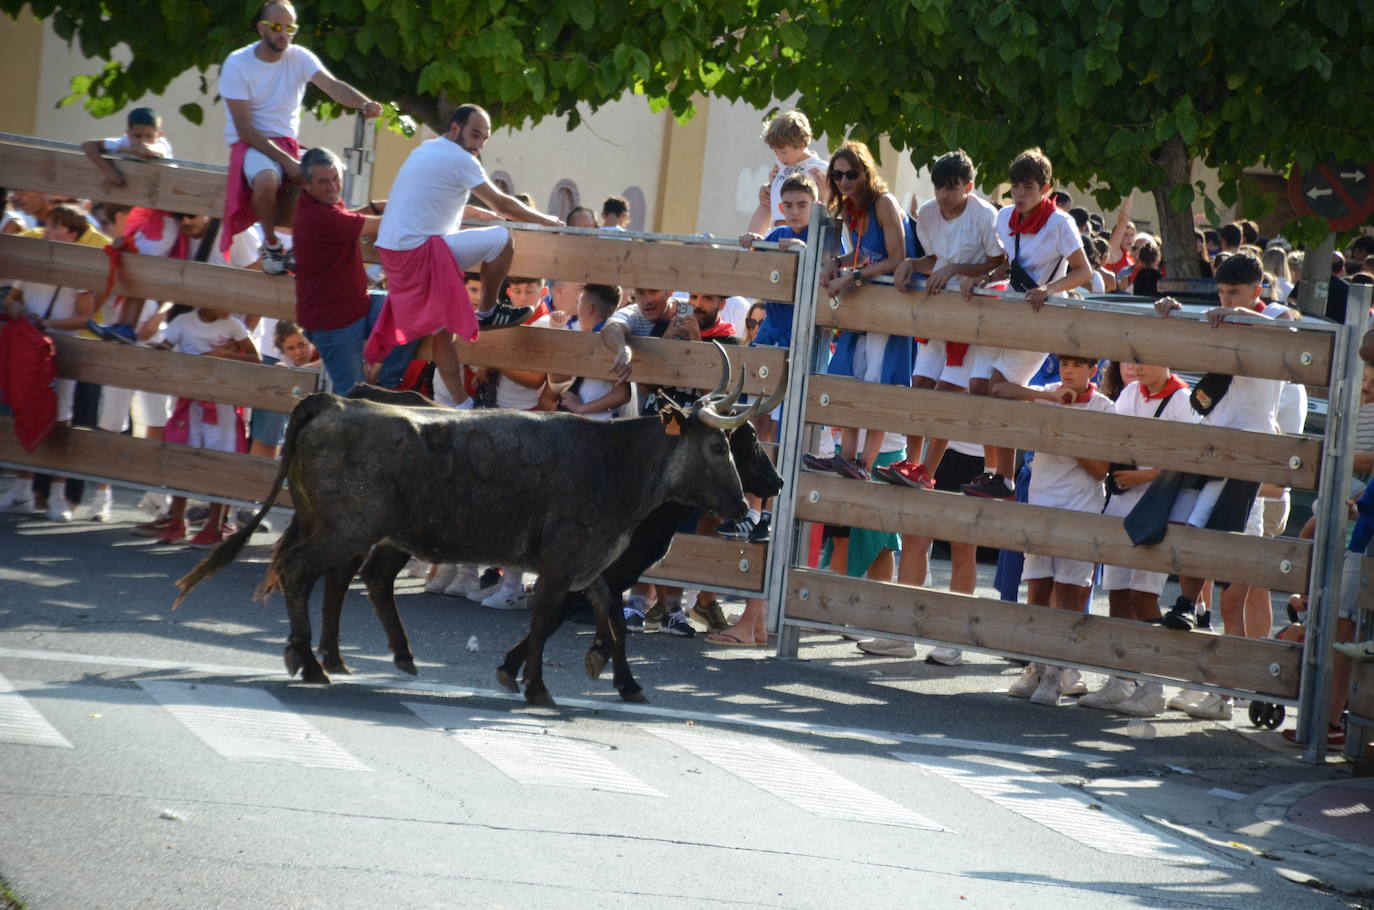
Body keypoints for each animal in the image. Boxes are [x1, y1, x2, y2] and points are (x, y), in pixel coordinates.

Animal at [177, 346, 785, 709]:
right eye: (719, 446)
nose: (747, 502)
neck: (615, 461)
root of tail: (332, 401)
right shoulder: (564, 563)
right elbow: (546, 621)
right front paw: (536, 687)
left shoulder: (591, 564)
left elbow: (607, 617)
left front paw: (619, 678)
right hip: (343, 529)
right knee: (303, 572)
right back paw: (310, 661)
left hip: (344, 528)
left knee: (336, 576)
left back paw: (349, 658)